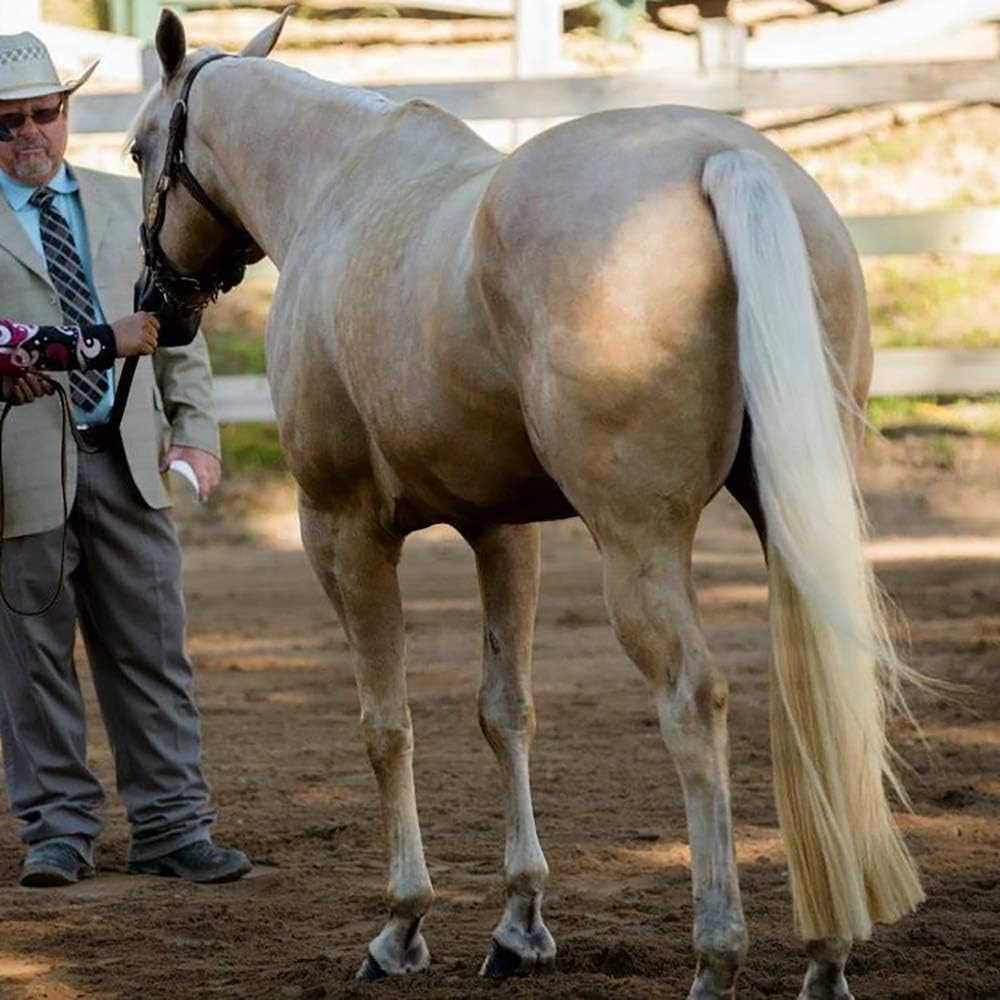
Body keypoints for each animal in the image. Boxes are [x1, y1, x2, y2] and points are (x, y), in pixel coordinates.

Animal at [129, 10, 924, 997]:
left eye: (136, 150)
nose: (155, 303)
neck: (336, 186)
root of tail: (725, 158)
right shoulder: (503, 532)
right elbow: (504, 711)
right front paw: (520, 922)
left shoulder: (344, 533)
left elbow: (385, 725)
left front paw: (403, 925)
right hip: (790, 518)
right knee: (809, 688)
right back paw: (827, 957)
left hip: (637, 545)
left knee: (693, 699)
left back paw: (718, 955)